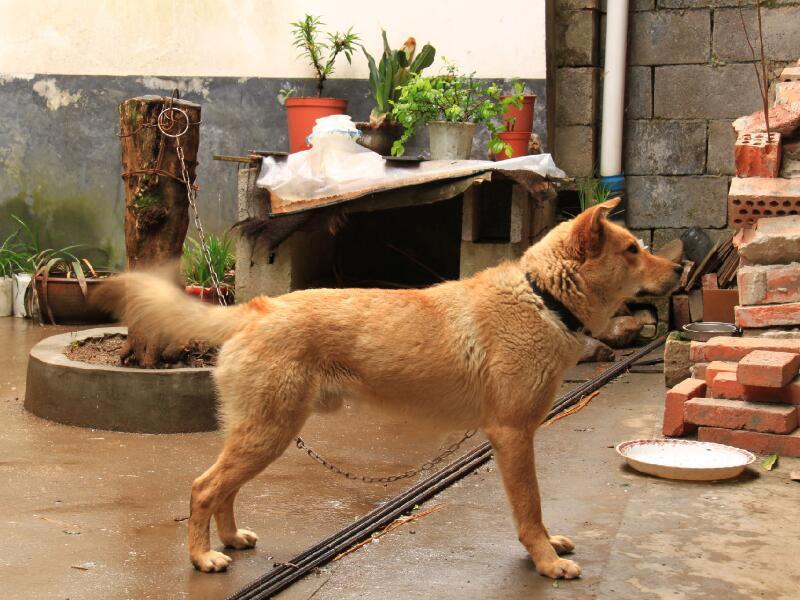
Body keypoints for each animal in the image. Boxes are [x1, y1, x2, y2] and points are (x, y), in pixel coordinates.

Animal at [97, 199, 680, 580]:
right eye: (632, 250)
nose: (679, 271)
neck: (543, 297)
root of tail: (257, 309)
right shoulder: (514, 436)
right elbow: (530, 507)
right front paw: (545, 561)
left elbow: (534, 509)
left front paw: (547, 548)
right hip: (269, 432)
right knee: (204, 487)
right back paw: (202, 557)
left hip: (262, 434)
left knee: (224, 489)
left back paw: (230, 539)